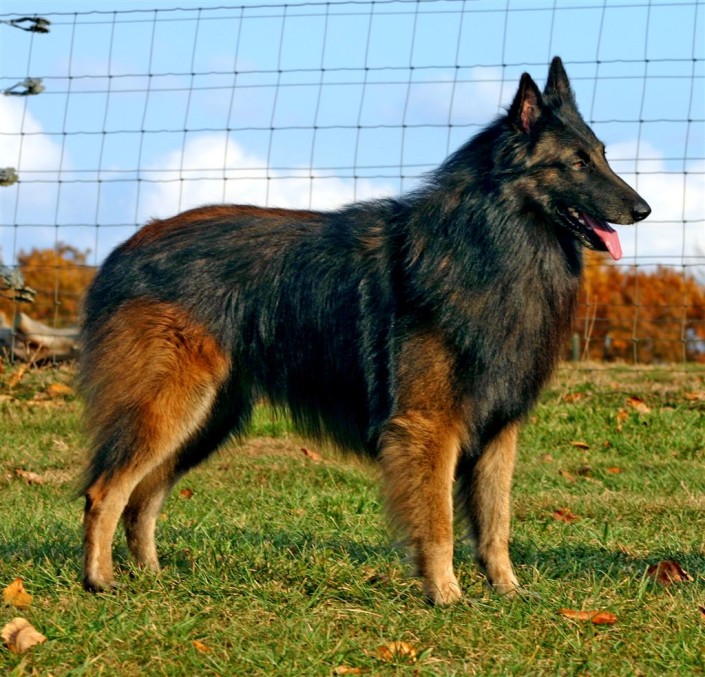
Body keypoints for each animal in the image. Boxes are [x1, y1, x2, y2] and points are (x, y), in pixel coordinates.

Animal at [78, 56, 648, 604]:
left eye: (603, 155)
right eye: (577, 163)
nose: (643, 209)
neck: (489, 242)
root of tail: (123, 249)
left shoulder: (497, 429)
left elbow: (495, 523)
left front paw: (507, 591)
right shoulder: (428, 426)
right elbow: (439, 523)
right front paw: (446, 595)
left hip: (206, 419)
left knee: (142, 497)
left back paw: (150, 578)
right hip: (170, 407)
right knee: (105, 491)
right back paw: (100, 581)